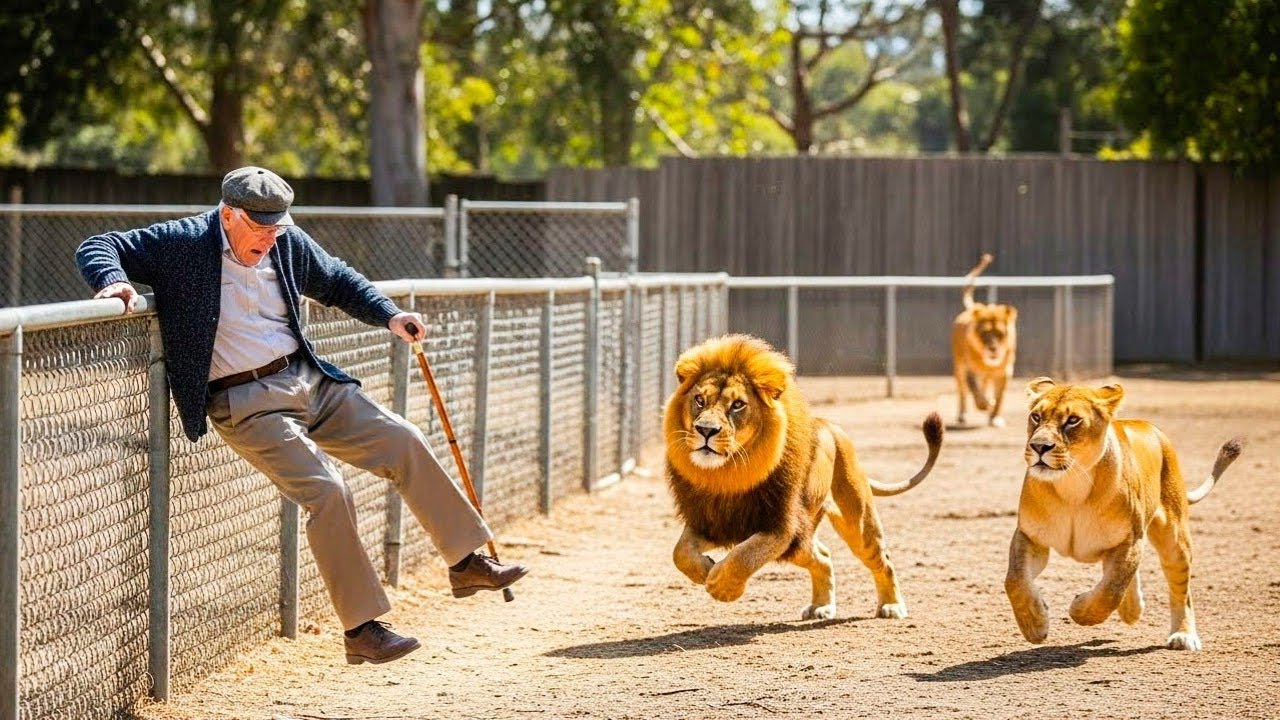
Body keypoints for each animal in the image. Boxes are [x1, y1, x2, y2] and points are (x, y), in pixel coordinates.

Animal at [664, 334, 944, 620]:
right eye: (699, 400)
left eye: (738, 405)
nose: (705, 430)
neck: (728, 473)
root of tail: (832, 426)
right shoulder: (709, 520)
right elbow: (679, 553)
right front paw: (705, 569)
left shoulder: (782, 527)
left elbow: (746, 554)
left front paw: (723, 587)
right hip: (802, 542)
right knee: (823, 555)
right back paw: (821, 606)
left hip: (855, 524)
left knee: (882, 559)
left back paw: (892, 605)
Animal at [952, 253, 1018, 427]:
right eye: (985, 333)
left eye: (1000, 333)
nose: (993, 348)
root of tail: (973, 308)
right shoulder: (968, 367)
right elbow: (974, 389)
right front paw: (984, 404)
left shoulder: (1005, 371)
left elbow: (1000, 396)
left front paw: (995, 417)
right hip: (959, 366)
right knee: (962, 390)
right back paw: (962, 415)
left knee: (985, 383)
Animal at [1006, 377, 1244, 651]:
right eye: (1036, 416)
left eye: (1073, 420)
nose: (1038, 446)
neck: (1072, 487)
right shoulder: (1030, 537)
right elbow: (1015, 581)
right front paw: (1034, 625)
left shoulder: (1129, 540)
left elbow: (1111, 590)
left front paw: (1079, 609)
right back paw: (1132, 610)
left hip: (1174, 537)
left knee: (1181, 590)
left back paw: (1183, 635)